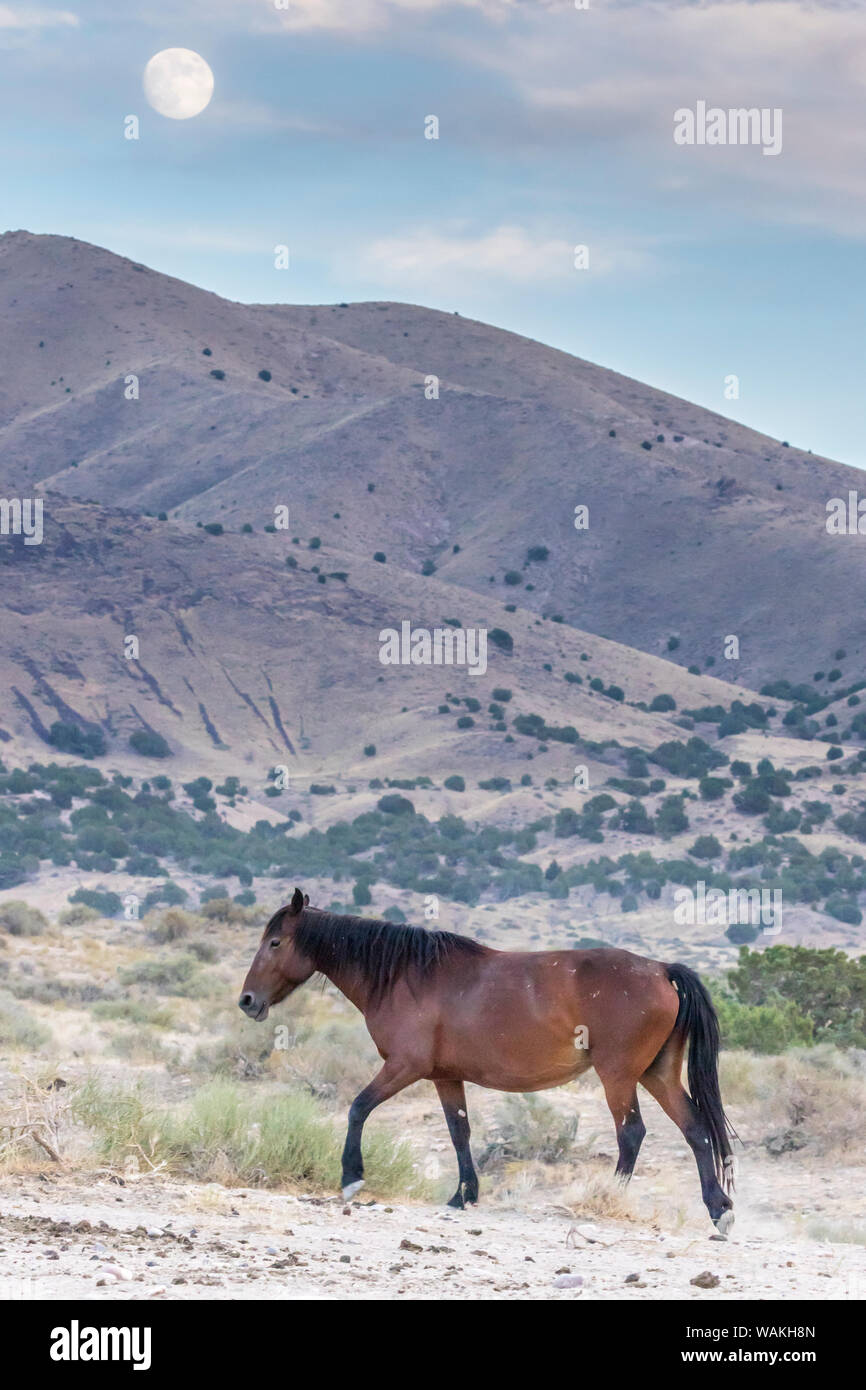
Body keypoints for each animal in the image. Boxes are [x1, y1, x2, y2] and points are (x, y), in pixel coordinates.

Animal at [240, 884, 733, 1234]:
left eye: (276, 943)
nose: (247, 1001)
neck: (404, 976)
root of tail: (661, 970)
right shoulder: (444, 1078)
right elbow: (459, 1132)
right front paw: (463, 1195)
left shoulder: (403, 1068)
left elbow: (358, 1107)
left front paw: (351, 1178)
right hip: (657, 1074)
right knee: (695, 1128)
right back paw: (719, 1209)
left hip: (619, 1076)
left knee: (632, 1133)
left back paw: (606, 1198)